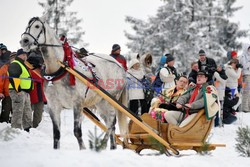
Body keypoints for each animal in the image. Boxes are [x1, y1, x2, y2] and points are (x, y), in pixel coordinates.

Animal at [20, 15, 128, 149]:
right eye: (27, 26)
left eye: (37, 26)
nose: (24, 41)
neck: (60, 69)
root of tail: (119, 65)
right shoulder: (53, 106)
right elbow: (56, 134)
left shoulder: (78, 104)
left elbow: (77, 132)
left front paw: (83, 149)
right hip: (100, 102)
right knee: (110, 122)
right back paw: (112, 147)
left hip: (110, 100)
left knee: (111, 123)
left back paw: (103, 145)